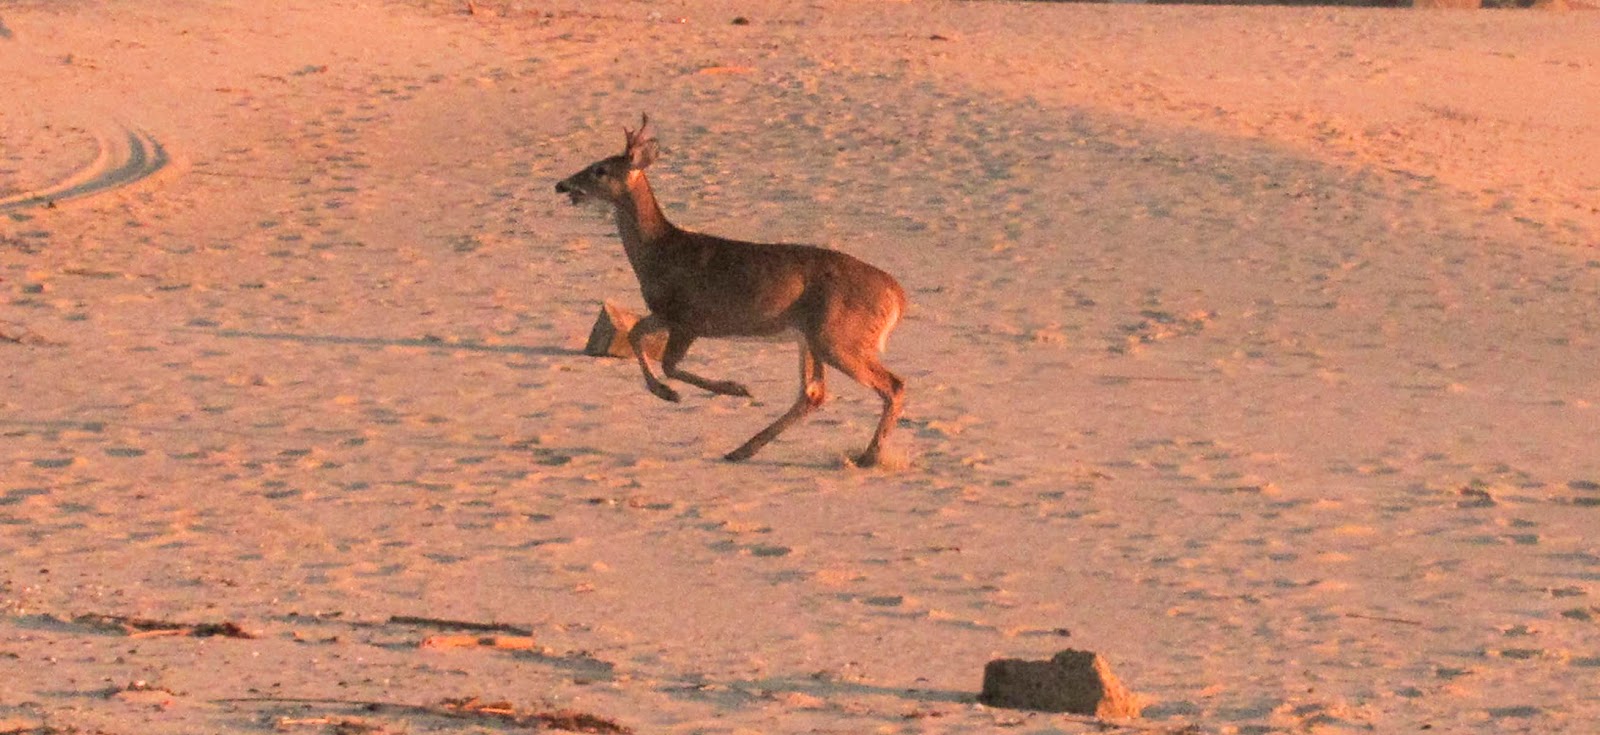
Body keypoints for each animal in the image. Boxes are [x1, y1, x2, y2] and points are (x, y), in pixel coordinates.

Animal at [554, 114, 907, 467]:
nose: (562, 185)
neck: (660, 252)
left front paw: (728, 388)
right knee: (813, 393)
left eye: (600, 169)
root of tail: (897, 295)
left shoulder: (689, 317)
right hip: (811, 337)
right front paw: (668, 393)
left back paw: (869, 456)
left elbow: (669, 364)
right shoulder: (664, 313)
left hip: (838, 336)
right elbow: (635, 334)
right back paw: (742, 450)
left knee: (893, 384)